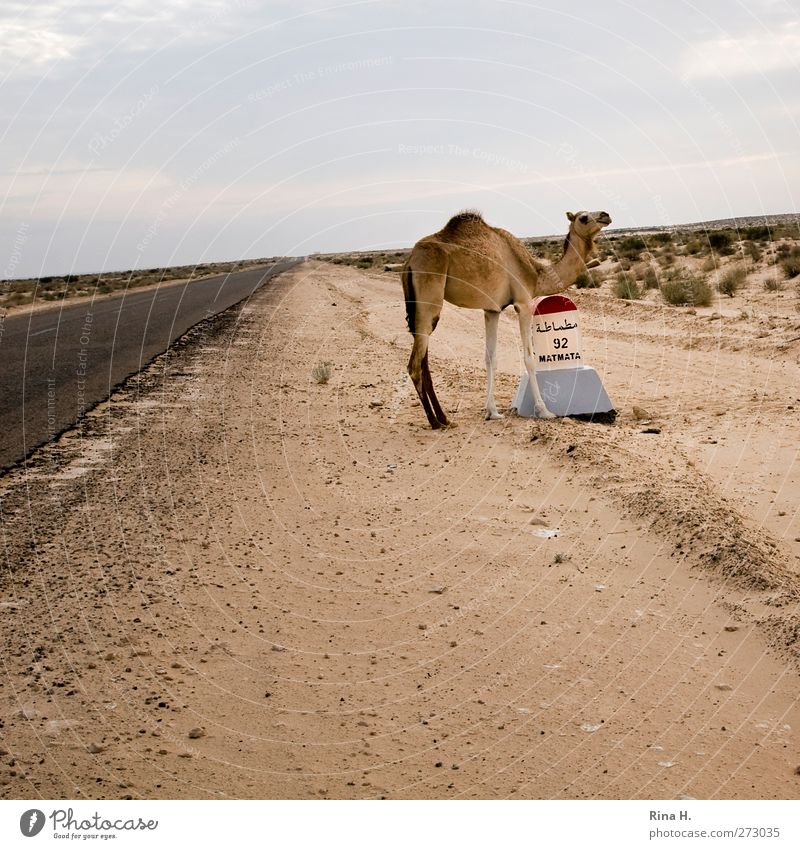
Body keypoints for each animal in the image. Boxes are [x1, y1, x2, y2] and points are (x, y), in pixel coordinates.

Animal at [400, 209, 612, 428]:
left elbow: (490, 358)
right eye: (583, 218)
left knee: (423, 359)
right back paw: (435, 421)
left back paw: (444, 418)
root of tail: (410, 263)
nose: (606, 215)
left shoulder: (492, 310)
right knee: (414, 365)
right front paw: (544, 411)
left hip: (419, 309)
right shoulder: (523, 303)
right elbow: (529, 359)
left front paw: (492, 412)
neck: (536, 273)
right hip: (429, 299)